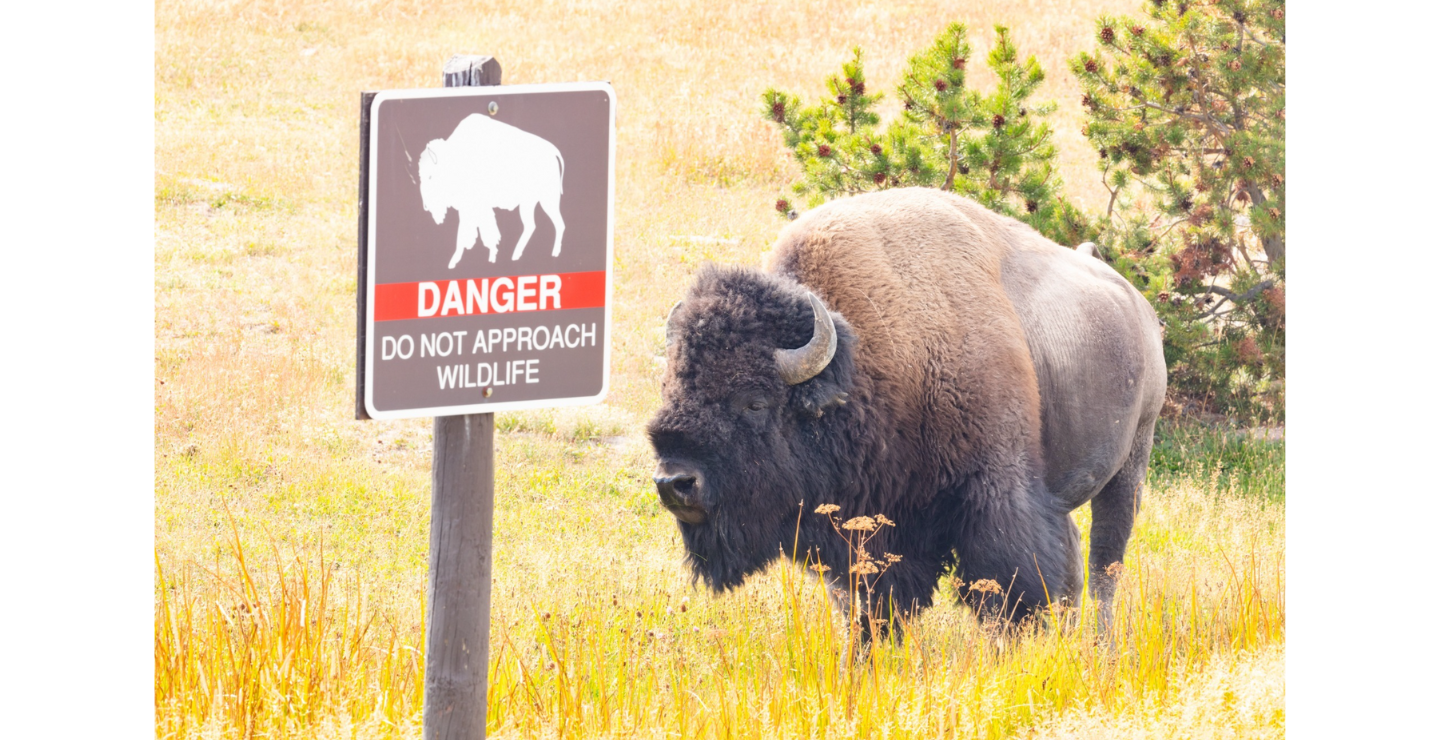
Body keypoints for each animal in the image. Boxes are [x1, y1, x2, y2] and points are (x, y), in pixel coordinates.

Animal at [417, 113, 561, 267]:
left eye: (430, 176)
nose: (426, 206)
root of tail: (553, 153)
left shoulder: (475, 207)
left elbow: (474, 233)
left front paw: (455, 261)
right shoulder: (470, 209)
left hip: (547, 201)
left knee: (557, 224)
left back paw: (552, 253)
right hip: (529, 203)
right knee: (533, 225)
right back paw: (517, 255)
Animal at [653, 185, 1169, 627]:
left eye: (755, 402)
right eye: (672, 387)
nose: (674, 482)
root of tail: (1138, 307)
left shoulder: (995, 494)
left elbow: (1008, 590)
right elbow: (865, 603)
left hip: (1131, 465)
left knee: (1105, 567)